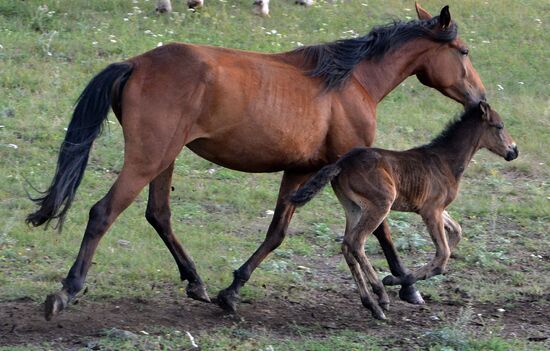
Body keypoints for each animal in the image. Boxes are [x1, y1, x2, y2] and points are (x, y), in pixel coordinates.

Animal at [27, 3, 488, 322]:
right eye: (464, 51)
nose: (480, 99)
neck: (350, 82)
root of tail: (136, 63)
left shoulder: (301, 169)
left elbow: (276, 233)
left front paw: (232, 291)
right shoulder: (361, 166)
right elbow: (383, 233)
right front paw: (405, 286)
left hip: (164, 159)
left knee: (158, 214)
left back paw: (197, 283)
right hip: (147, 158)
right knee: (103, 212)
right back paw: (66, 292)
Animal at [292, 101, 520, 320]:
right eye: (499, 126)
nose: (514, 151)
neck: (446, 161)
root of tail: (341, 163)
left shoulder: (436, 209)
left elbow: (456, 232)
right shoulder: (431, 210)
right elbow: (442, 255)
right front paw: (396, 281)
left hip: (353, 208)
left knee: (347, 245)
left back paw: (371, 304)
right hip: (380, 204)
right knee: (356, 242)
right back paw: (381, 295)